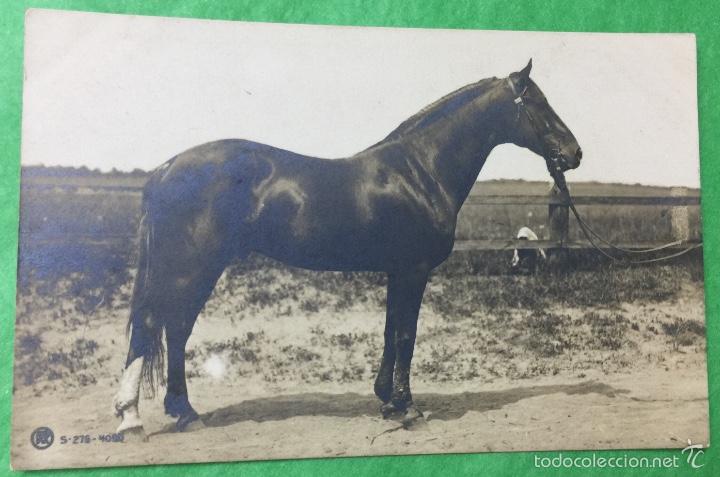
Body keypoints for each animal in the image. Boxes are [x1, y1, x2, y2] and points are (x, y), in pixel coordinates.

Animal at [112, 59, 582, 436]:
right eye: (538, 103)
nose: (574, 153)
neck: (420, 171)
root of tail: (166, 168)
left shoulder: (398, 270)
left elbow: (391, 331)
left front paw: (387, 400)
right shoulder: (413, 270)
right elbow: (406, 333)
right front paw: (408, 409)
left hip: (201, 267)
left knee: (175, 328)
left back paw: (183, 412)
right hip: (189, 265)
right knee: (154, 326)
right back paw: (133, 419)